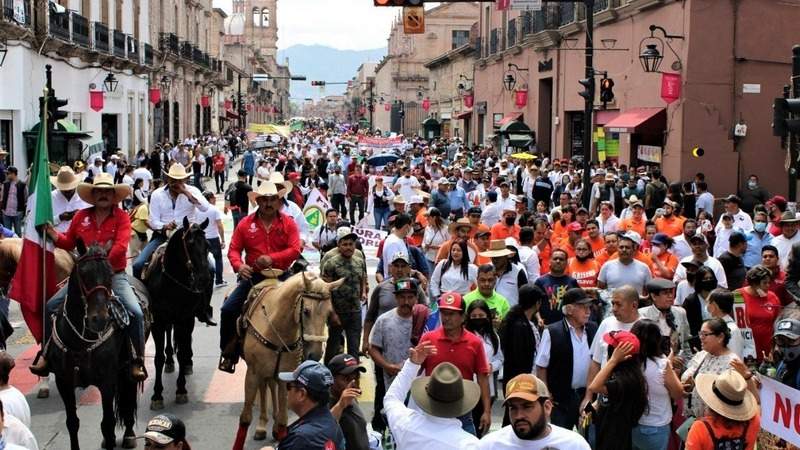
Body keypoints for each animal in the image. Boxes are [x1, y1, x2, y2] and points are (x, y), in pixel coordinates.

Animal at [48, 241, 145, 448]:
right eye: (83, 274)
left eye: (110, 274)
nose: (99, 319)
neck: (79, 341)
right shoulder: (64, 382)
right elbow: (72, 422)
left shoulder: (106, 381)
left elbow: (107, 424)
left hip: (127, 370)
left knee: (128, 397)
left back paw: (129, 435)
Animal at [145, 216, 209, 410]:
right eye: (189, 244)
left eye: (207, 245)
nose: (204, 278)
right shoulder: (157, 321)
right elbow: (158, 357)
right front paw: (157, 395)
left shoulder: (184, 318)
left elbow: (181, 351)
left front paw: (181, 390)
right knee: (169, 335)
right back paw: (169, 361)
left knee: (186, 342)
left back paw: (187, 363)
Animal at [231, 270, 344, 450]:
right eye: (306, 311)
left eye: (328, 313)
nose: (314, 355)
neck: (275, 327)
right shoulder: (253, 373)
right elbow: (246, 417)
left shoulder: (285, 374)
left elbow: (284, 418)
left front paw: (279, 428)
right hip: (260, 372)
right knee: (264, 388)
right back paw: (262, 426)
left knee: (271, 386)